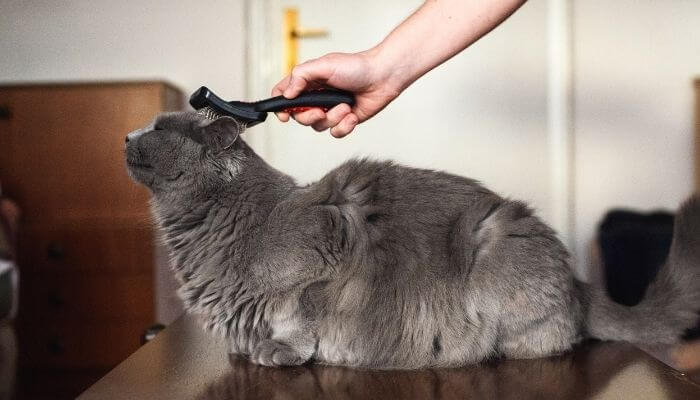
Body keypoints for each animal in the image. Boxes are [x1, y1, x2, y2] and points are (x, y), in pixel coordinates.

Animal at [126, 111, 700, 368]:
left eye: (158, 127)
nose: (128, 133)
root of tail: (579, 281)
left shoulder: (321, 251)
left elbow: (299, 315)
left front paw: (281, 350)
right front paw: (249, 350)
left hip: (492, 248)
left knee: (555, 337)